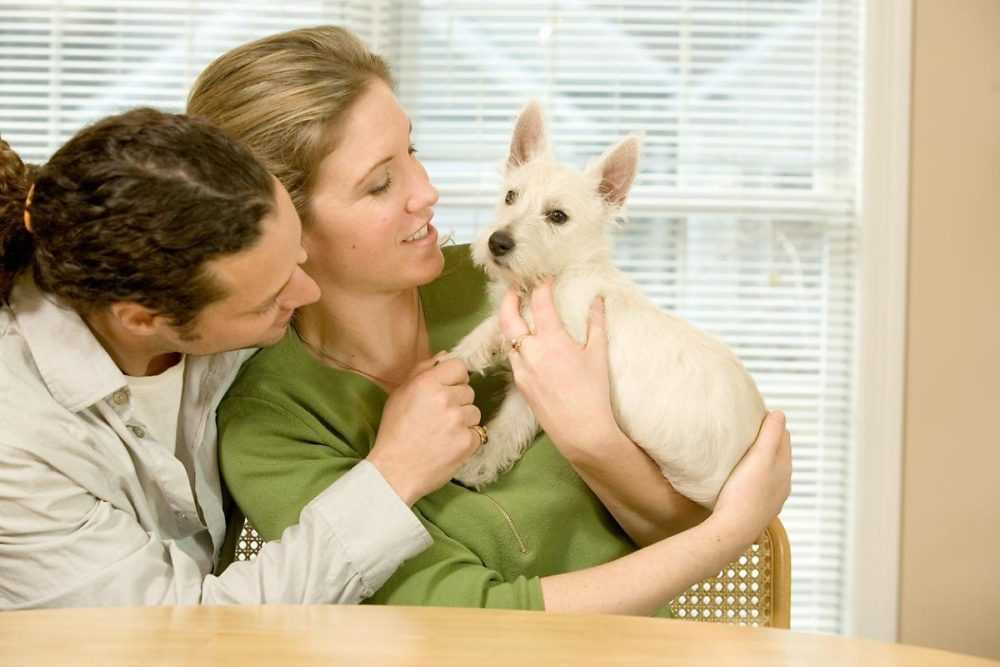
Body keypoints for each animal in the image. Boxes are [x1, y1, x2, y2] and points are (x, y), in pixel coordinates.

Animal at [450, 100, 768, 506]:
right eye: (510, 196)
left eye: (558, 216)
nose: (497, 242)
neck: (562, 274)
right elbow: (505, 419)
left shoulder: (543, 370)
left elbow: (505, 408)